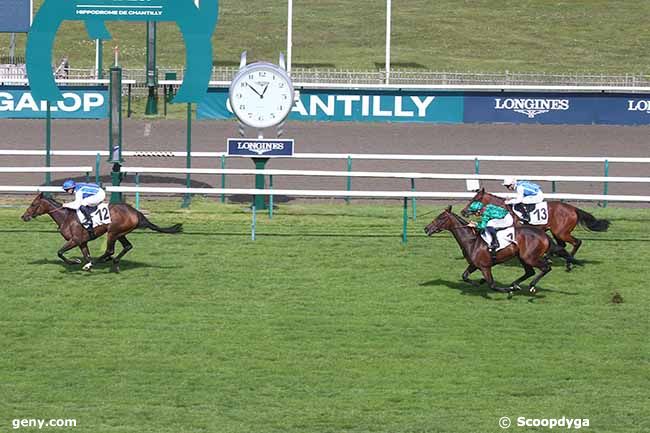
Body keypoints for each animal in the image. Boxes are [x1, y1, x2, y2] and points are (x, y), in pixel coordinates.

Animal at [21, 192, 181, 270]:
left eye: (33, 204)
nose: (24, 216)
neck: (66, 217)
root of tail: (136, 212)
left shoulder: (75, 240)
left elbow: (60, 252)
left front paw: (75, 262)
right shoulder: (82, 242)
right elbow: (85, 255)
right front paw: (85, 263)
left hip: (112, 231)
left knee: (110, 250)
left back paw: (101, 260)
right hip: (120, 233)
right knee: (127, 246)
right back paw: (113, 262)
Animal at [422, 205, 564, 294]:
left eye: (440, 218)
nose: (426, 228)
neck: (472, 240)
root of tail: (544, 235)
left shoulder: (485, 267)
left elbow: (492, 285)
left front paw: (507, 290)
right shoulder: (474, 264)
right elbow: (465, 276)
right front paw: (478, 282)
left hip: (529, 257)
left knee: (546, 267)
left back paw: (530, 286)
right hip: (522, 257)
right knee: (530, 272)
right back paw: (515, 284)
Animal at [460, 188, 608, 264]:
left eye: (474, 200)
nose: (463, 211)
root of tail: (573, 209)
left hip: (562, 232)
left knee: (577, 242)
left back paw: (568, 263)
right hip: (557, 232)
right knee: (562, 245)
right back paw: (550, 257)